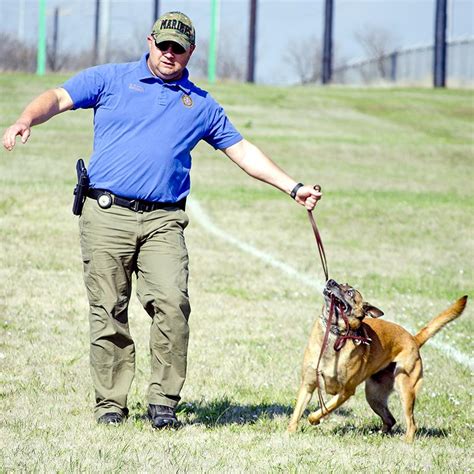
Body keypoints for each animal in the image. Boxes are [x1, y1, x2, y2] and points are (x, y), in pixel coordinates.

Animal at [286, 280, 468, 442]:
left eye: (350, 292)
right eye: (339, 283)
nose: (330, 281)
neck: (336, 334)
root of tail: (414, 339)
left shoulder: (346, 391)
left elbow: (322, 410)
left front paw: (314, 419)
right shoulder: (308, 384)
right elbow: (297, 413)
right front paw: (289, 433)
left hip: (405, 388)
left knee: (412, 423)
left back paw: (406, 442)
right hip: (374, 395)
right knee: (390, 420)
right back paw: (379, 435)